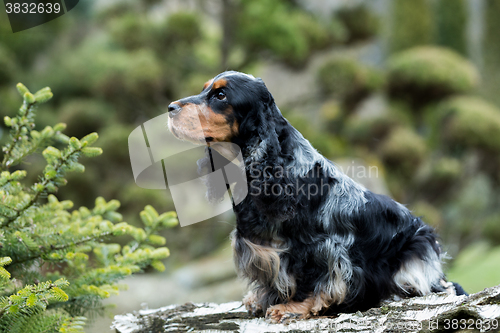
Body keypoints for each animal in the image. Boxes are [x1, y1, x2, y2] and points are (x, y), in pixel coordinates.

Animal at [166, 70, 466, 322]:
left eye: (220, 96)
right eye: (204, 89)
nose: (170, 108)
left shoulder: (325, 249)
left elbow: (316, 280)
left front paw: (293, 306)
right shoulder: (260, 249)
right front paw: (262, 298)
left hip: (416, 248)